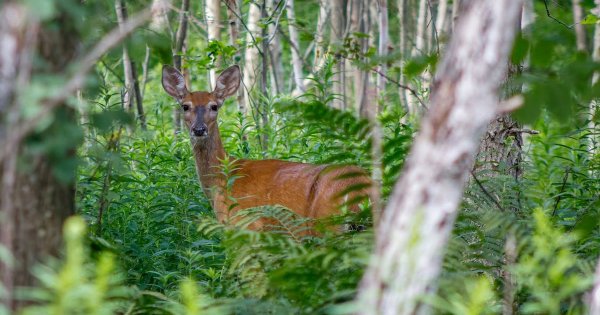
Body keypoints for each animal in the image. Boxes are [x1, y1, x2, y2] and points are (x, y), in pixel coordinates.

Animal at [162, 65, 372, 232]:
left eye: (214, 106)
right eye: (185, 106)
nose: (199, 129)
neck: (222, 179)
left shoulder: (247, 225)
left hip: (326, 224)